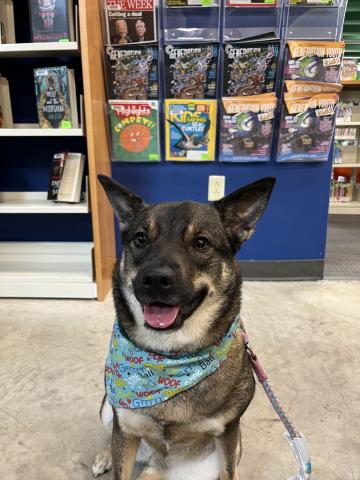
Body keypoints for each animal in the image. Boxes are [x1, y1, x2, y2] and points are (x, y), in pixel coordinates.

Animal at [92, 176, 276, 480]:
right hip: (109, 408)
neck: (169, 354)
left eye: (201, 242)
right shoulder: (125, 426)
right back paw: (105, 455)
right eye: (140, 239)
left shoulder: (229, 434)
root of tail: (156, 463)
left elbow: (230, 471)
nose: (155, 279)